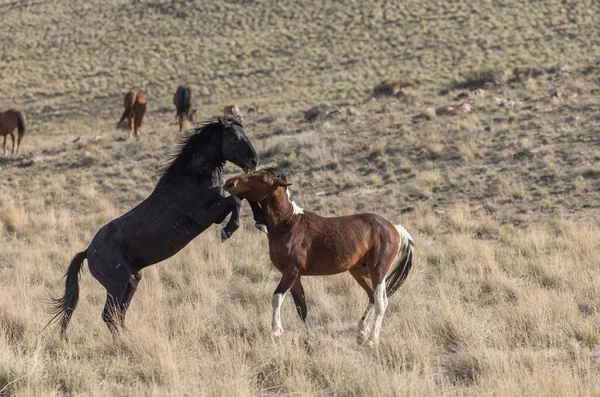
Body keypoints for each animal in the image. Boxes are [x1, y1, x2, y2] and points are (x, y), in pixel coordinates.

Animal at [49, 114, 268, 338]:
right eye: (233, 137)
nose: (254, 161)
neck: (194, 177)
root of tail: (88, 251)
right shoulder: (206, 215)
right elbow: (236, 201)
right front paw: (228, 230)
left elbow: (242, 198)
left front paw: (260, 221)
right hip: (117, 284)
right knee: (109, 315)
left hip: (132, 281)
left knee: (118, 315)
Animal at [223, 167, 414, 344]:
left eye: (262, 179)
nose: (229, 183)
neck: (288, 223)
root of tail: (394, 228)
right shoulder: (295, 277)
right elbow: (301, 307)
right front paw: (310, 337)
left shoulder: (291, 272)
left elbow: (276, 297)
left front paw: (276, 332)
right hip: (358, 271)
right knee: (372, 297)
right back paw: (361, 332)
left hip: (378, 271)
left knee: (381, 301)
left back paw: (371, 340)